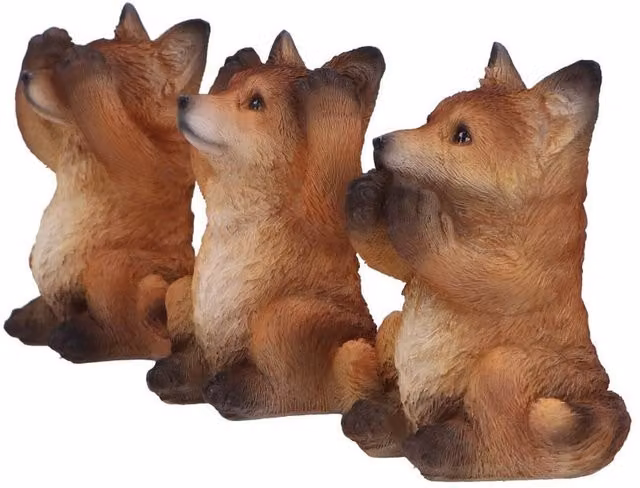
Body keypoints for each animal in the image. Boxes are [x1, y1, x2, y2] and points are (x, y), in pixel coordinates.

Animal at [4, 3, 209, 363]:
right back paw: (34, 320)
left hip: (111, 268)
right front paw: (47, 39)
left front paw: (87, 64)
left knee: (146, 342)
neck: (80, 149)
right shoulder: (55, 153)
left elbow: (104, 112)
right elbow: (33, 127)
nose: (27, 76)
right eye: (50, 65)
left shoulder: (145, 164)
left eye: (63, 70)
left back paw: (76, 339)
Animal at [148, 31, 385, 417]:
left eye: (256, 102)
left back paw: (238, 391)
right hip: (185, 293)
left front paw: (327, 89)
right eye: (229, 90)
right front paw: (234, 61)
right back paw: (181, 374)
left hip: (295, 319)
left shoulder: (327, 202)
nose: (182, 100)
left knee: (302, 386)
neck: (246, 211)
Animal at [341, 43, 630, 480]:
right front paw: (366, 191)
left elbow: (455, 264)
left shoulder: (518, 272)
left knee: (512, 450)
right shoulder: (414, 275)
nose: (378, 142)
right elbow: (394, 261)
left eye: (462, 135)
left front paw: (414, 201)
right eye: (430, 119)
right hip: (392, 328)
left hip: (504, 370)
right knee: (402, 403)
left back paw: (445, 450)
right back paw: (380, 420)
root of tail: (600, 391)